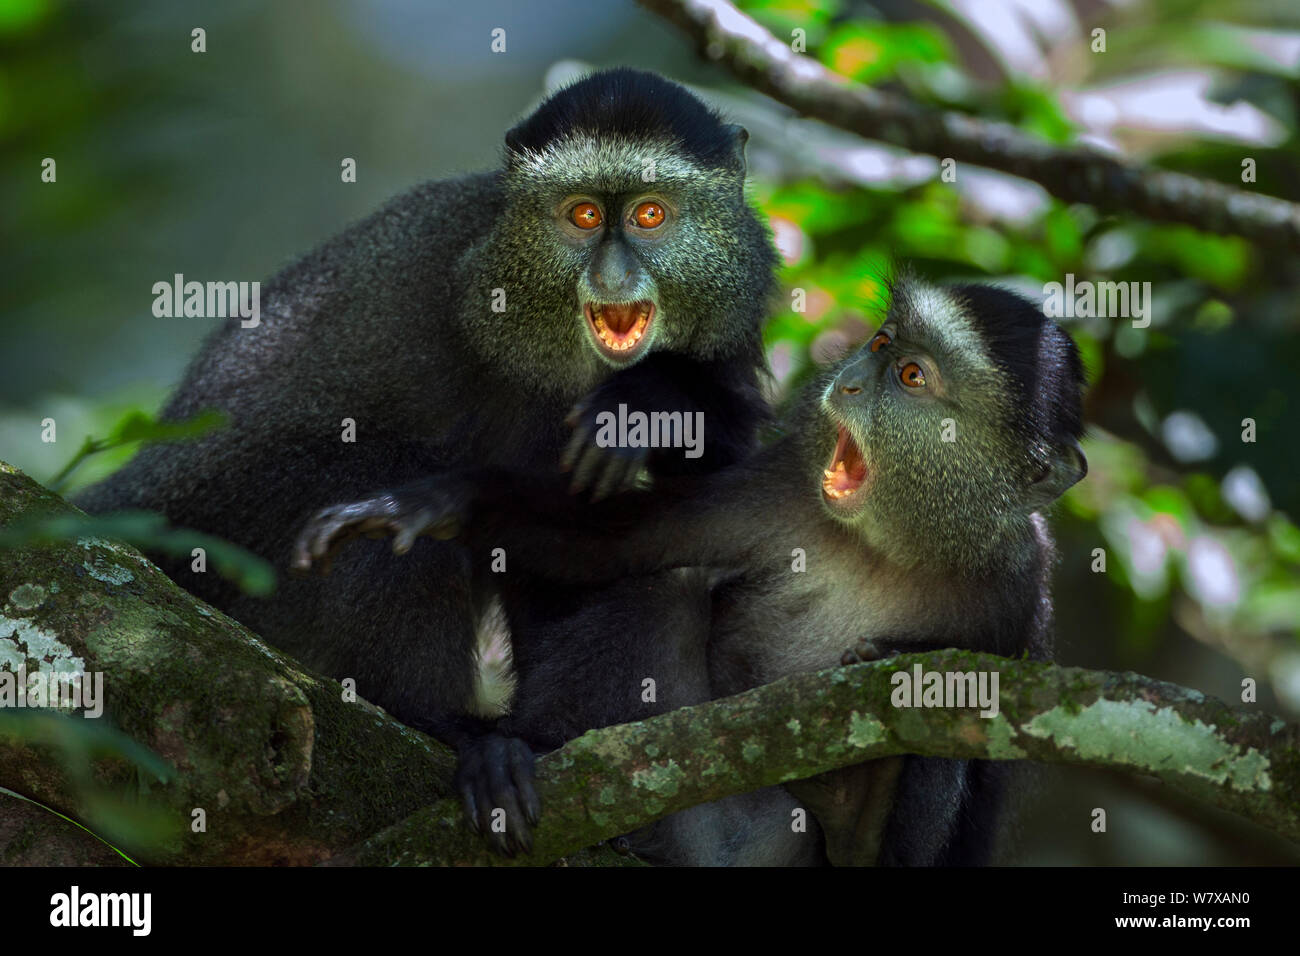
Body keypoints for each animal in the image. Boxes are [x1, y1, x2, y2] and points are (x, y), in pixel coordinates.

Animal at [76, 68, 778, 854]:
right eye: (583, 215)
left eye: (651, 215)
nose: (614, 273)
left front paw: (648, 400)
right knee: (373, 482)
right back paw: (451, 730)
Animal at [294, 277, 1088, 865]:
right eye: (884, 342)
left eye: (912, 376)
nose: (854, 382)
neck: (887, 545)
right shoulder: (774, 491)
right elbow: (613, 547)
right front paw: (434, 503)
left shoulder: (1017, 594)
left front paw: (896, 662)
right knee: (665, 591)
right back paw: (521, 754)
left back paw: (858, 825)